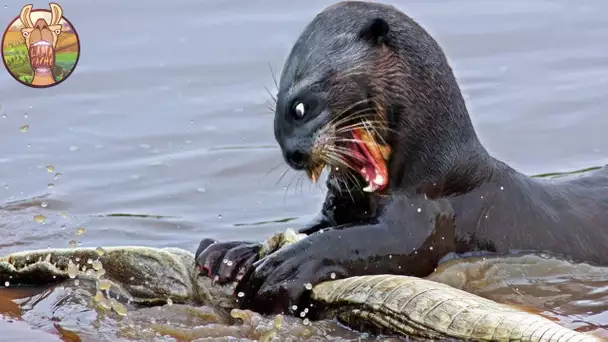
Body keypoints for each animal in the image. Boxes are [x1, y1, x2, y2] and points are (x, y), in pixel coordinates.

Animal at [196, 0, 608, 316]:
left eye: (299, 107)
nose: (292, 154)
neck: (434, 172)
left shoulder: (427, 217)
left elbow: (374, 243)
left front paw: (285, 267)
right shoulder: (344, 209)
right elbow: (320, 225)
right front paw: (231, 252)